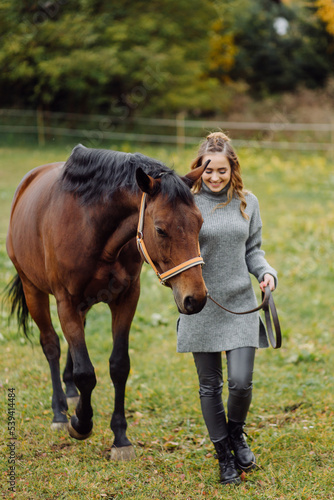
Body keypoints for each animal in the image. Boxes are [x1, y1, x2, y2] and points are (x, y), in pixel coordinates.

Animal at [6, 144, 207, 458]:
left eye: (200, 224)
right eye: (160, 229)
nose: (195, 298)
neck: (91, 226)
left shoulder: (126, 298)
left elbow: (118, 365)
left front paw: (120, 437)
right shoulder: (65, 301)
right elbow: (86, 372)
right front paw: (80, 423)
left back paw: (70, 393)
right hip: (33, 290)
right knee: (51, 345)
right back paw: (60, 411)